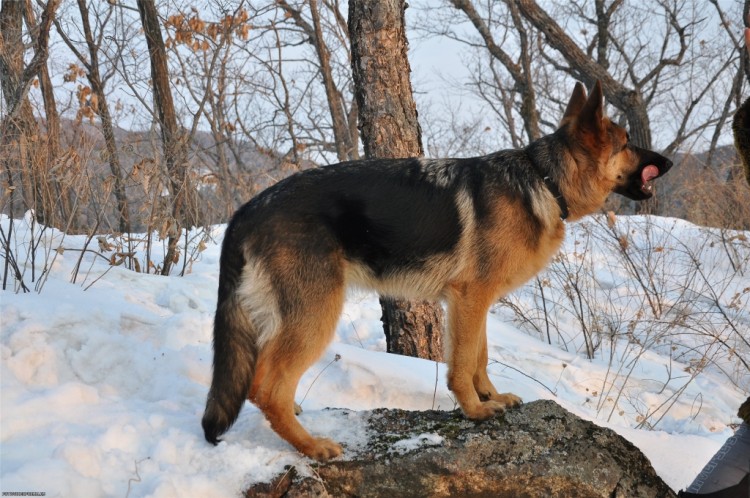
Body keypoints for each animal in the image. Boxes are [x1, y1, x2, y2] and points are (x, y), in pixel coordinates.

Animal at [201, 80, 676, 460]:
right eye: (627, 143)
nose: (669, 162)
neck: (544, 180)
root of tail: (247, 209)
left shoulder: (474, 303)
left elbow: (480, 356)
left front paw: (491, 397)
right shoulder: (470, 299)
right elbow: (463, 362)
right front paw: (475, 410)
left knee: (264, 381)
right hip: (315, 315)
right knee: (265, 386)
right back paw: (311, 445)